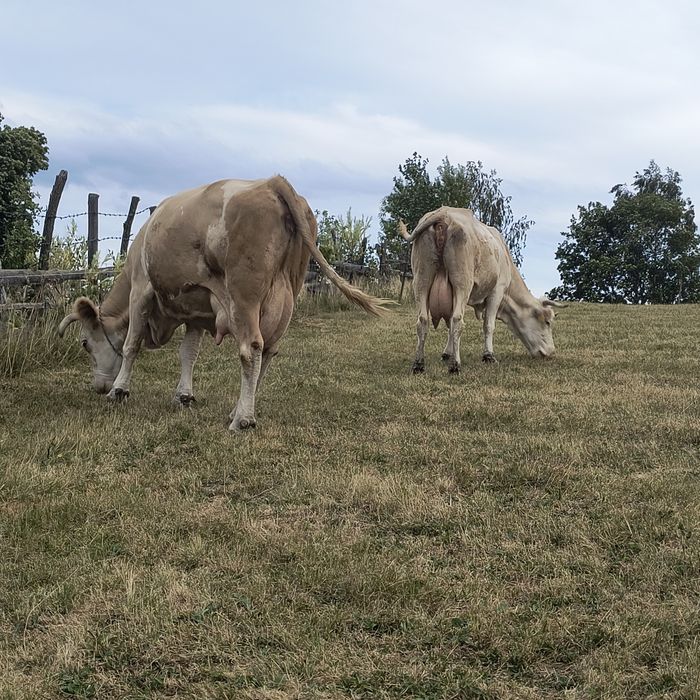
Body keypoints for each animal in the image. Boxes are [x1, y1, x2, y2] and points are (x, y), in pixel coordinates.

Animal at [59, 176, 389, 431]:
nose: (98, 387)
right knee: (268, 352)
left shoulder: (142, 289)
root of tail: (271, 182)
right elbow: (188, 354)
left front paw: (119, 390)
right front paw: (183, 396)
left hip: (244, 295)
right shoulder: (194, 309)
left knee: (251, 348)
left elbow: (130, 344)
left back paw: (242, 419)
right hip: (287, 295)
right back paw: (242, 408)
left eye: (85, 343)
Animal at [398, 206, 565, 374]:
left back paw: (419, 364)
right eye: (548, 322)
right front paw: (488, 356)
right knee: (457, 320)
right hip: (462, 282)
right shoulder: (497, 291)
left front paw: (447, 353)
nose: (551, 351)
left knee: (423, 320)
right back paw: (455, 366)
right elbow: (488, 325)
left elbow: (450, 327)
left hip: (421, 280)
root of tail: (443, 214)